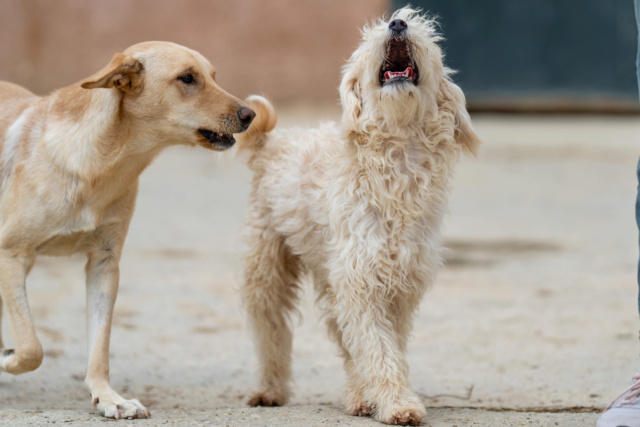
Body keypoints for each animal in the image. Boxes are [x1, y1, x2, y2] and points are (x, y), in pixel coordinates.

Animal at [0, 41, 252, 422]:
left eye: (213, 76)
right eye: (187, 78)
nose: (250, 114)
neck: (103, 163)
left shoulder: (104, 264)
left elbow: (99, 348)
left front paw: (108, 398)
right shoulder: (10, 254)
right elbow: (31, 348)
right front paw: (8, 357)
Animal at [239, 8, 480, 426]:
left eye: (426, 35)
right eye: (369, 37)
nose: (398, 22)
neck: (396, 166)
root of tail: (274, 144)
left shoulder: (398, 285)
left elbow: (383, 346)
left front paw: (387, 399)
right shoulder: (361, 282)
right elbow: (377, 349)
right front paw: (398, 404)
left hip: (330, 278)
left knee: (343, 341)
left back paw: (358, 396)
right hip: (267, 270)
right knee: (271, 333)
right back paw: (270, 389)